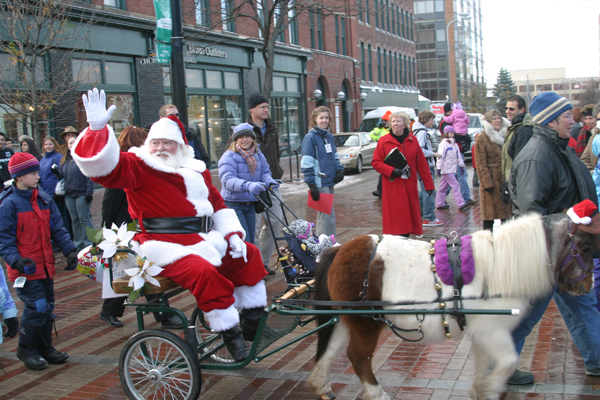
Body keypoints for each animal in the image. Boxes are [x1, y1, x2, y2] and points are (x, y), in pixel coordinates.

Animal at [308, 216, 596, 400]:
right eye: (585, 248)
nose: (589, 285)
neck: (501, 264)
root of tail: (340, 250)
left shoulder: (483, 333)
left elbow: (484, 364)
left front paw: (481, 391)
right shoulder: (493, 331)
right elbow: (507, 361)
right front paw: (492, 388)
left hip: (346, 318)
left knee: (330, 351)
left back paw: (322, 386)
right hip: (367, 322)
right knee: (358, 357)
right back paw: (376, 394)